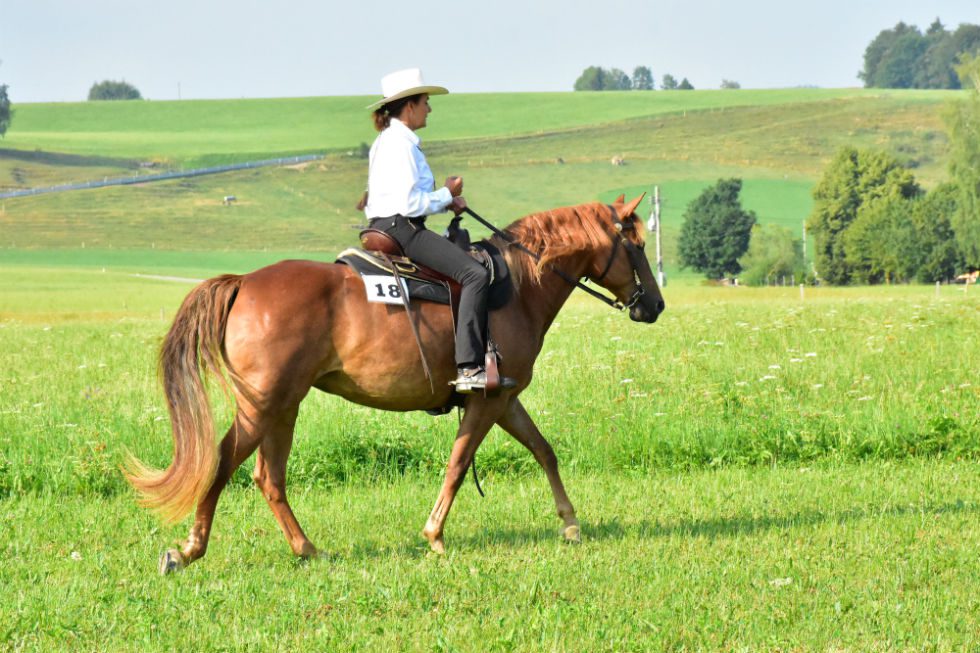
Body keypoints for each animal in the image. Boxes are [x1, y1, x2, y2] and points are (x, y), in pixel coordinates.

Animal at [126, 194, 668, 572]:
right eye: (638, 246)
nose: (656, 305)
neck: (517, 286)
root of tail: (243, 283)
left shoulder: (506, 398)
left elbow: (544, 451)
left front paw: (571, 523)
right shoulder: (487, 400)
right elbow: (458, 463)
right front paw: (435, 535)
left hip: (282, 407)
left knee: (268, 477)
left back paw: (304, 549)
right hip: (265, 406)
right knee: (225, 463)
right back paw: (192, 550)